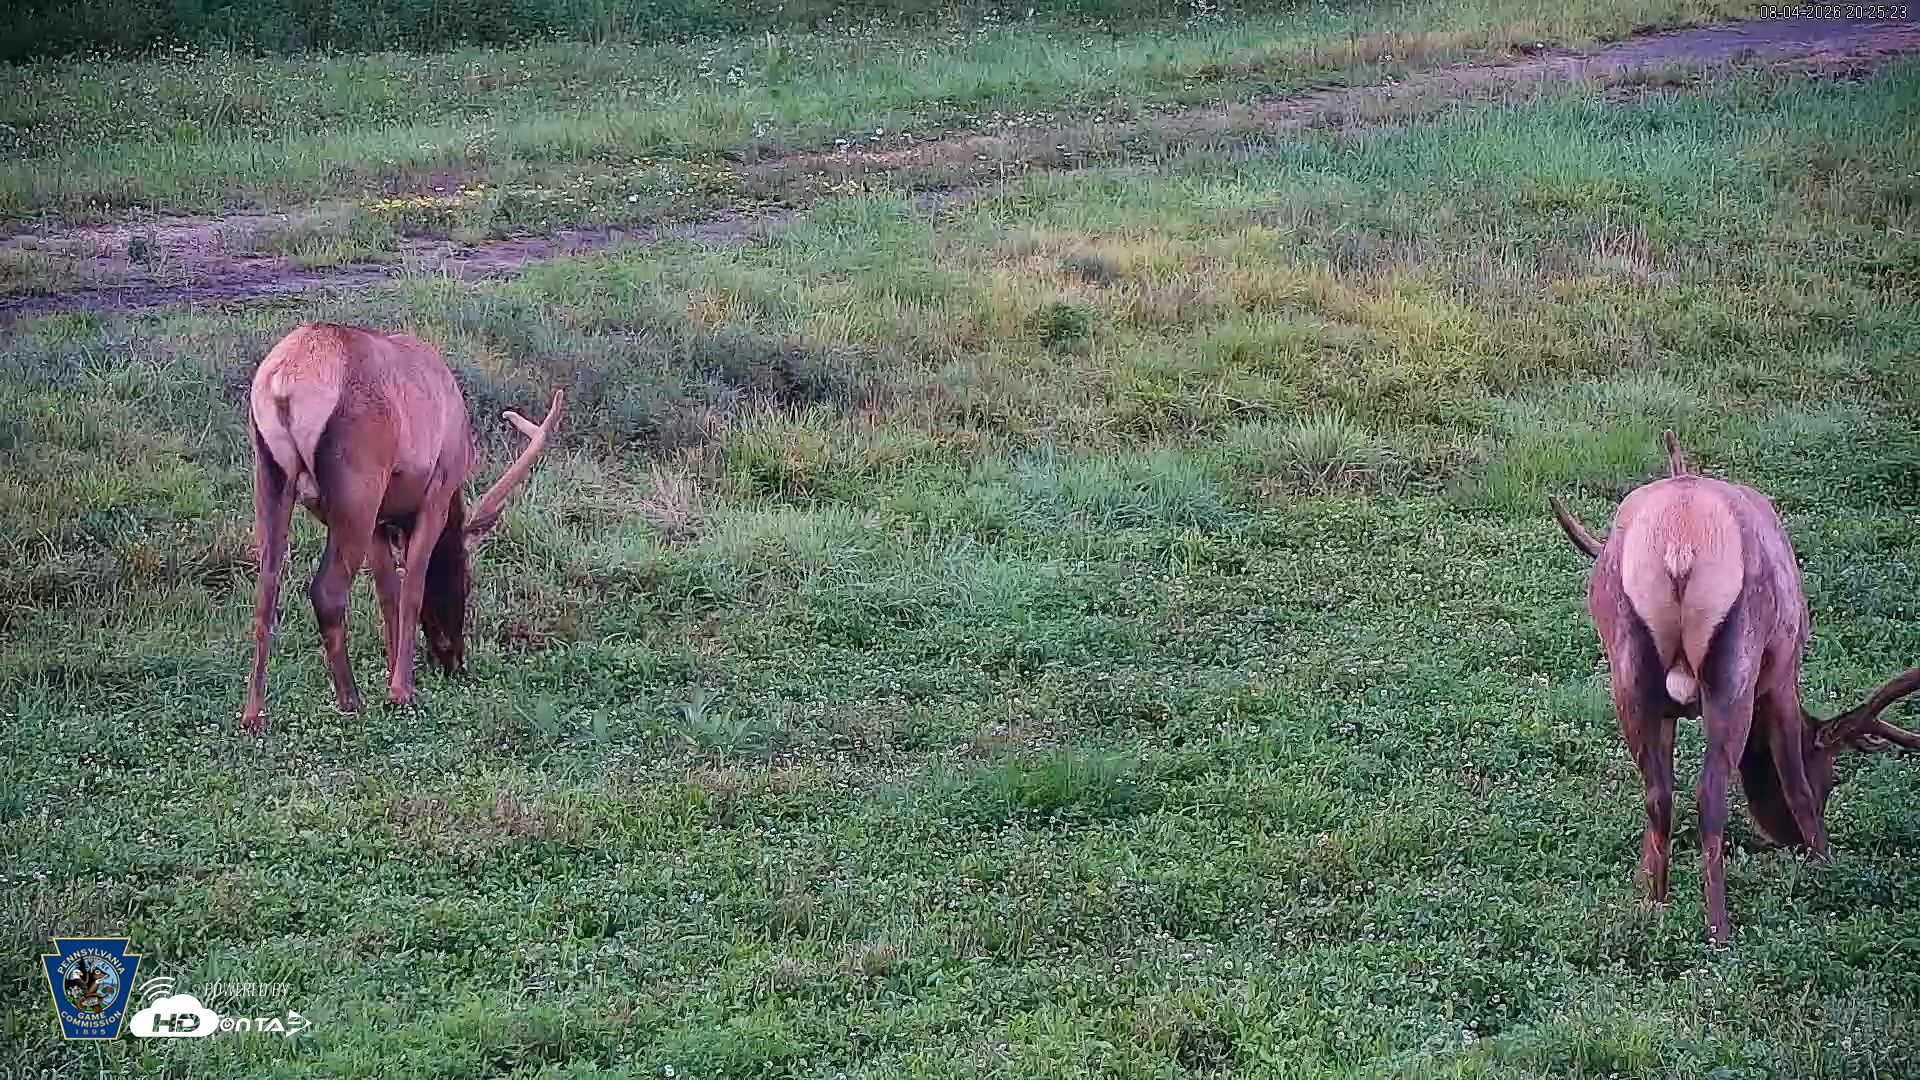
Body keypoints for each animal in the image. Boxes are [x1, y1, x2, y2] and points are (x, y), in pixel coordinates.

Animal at [241, 322, 563, 735]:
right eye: (466, 581)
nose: (454, 659)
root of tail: (283, 384)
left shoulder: (382, 520)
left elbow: (387, 592)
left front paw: (394, 670)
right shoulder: (436, 492)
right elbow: (411, 587)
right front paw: (400, 690)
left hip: (270, 474)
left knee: (266, 588)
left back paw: (253, 714)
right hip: (357, 487)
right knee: (327, 590)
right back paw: (351, 700)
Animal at [1550, 431, 1920, 946]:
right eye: (1831, 776)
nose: (1788, 841)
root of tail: (1679, 545)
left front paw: (1644, 882)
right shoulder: (1781, 676)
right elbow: (1795, 782)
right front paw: (1827, 865)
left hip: (1627, 665)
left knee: (1658, 794)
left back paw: (1657, 907)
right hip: (1736, 665)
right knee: (1709, 794)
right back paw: (1717, 930)